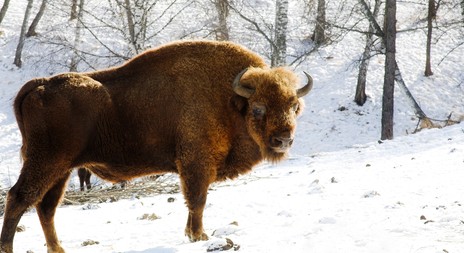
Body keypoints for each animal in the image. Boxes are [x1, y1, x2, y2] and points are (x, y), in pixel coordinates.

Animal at [0, 40, 314, 252]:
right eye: (259, 108)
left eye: (293, 106)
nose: (284, 140)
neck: (230, 100)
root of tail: (39, 85)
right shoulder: (196, 164)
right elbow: (197, 200)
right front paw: (199, 236)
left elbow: (193, 202)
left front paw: (193, 234)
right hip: (46, 162)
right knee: (19, 197)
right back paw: (9, 248)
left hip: (62, 169)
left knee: (46, 207)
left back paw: (58, 249)